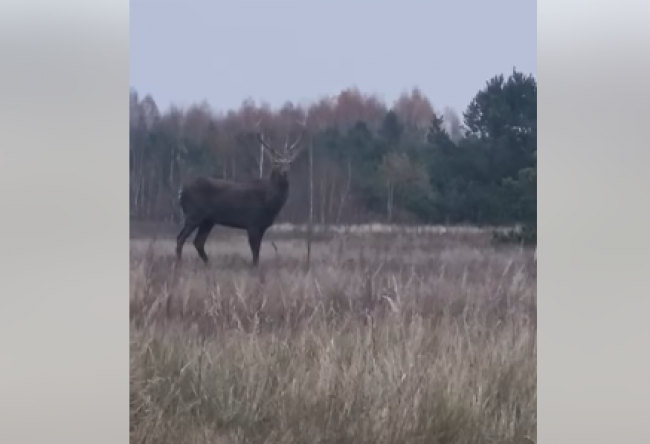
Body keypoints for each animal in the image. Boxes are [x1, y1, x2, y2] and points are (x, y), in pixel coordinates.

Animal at [175, 121, 306, 266]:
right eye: (276, 162)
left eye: (289, 162)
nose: (284, 171)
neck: (269, 201)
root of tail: (181, 192)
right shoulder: (252, 223)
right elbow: (255, 251)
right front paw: (254, 267)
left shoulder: (262, 226)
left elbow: (257, 250)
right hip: (193, 214)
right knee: (181, 238)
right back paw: (179, 263)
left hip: (208, 220)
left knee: (198, 242)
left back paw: (209, 264)